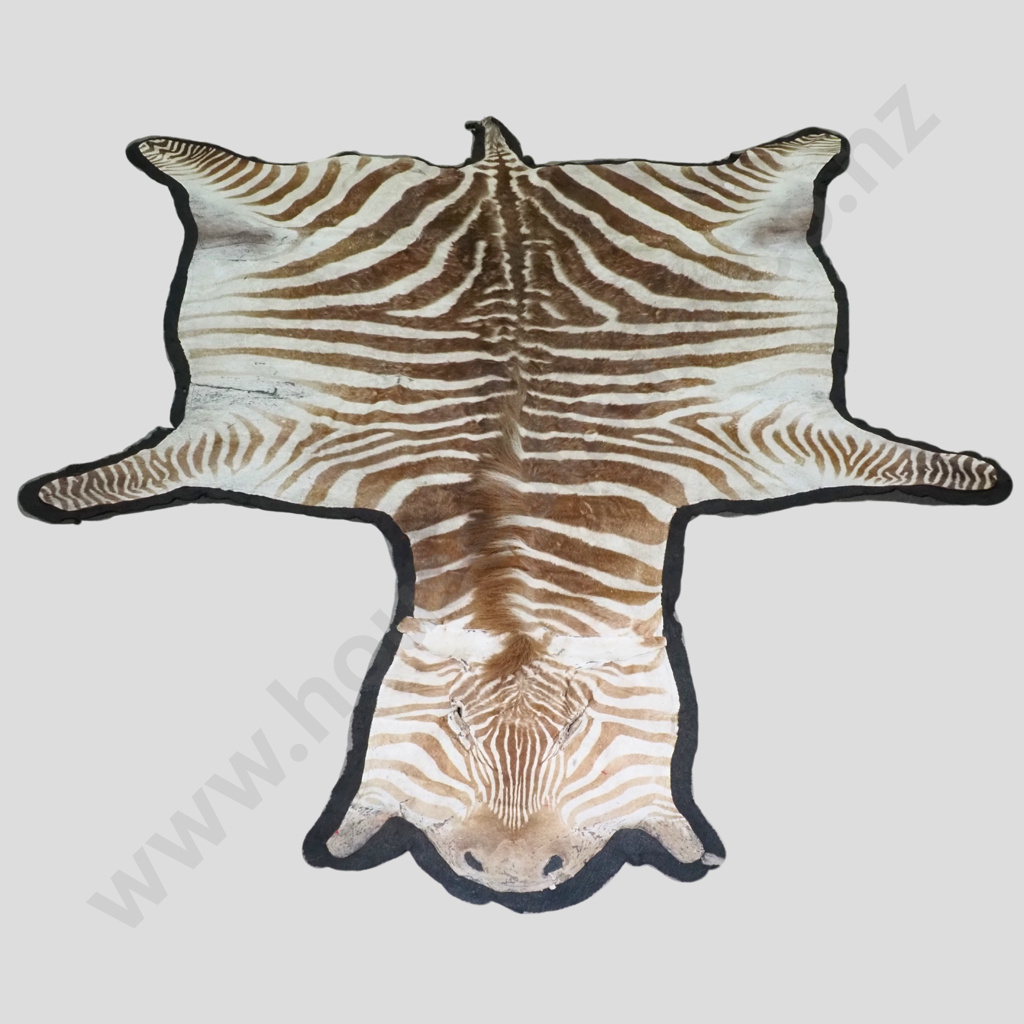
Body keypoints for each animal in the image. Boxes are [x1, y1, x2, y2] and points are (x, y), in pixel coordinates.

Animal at [20, 118, 1009, 908]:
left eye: (579, 730)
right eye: (455, 724)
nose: (510, 879)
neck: (514, 522)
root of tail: (502, 176)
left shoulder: (759, 435)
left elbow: (893, 460)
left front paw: (977, 474)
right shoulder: (268, 436)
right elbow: (135, 473)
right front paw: (55, 495)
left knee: (788, 152)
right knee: (217, 163)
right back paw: (166, 152)